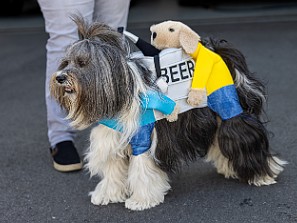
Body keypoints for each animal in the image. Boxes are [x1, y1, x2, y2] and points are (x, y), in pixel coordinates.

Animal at [50, 16, 284, 211]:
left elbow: (142, 169)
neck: (120, 89)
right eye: (66, 62)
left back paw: (262, 174)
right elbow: (113, 168)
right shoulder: (113, 135)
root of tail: (218, 49)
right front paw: (109, 194)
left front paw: (140, 200)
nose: (60, 77)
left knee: (243, 133)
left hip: (227, 105)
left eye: (82, 63)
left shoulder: (142, 136)